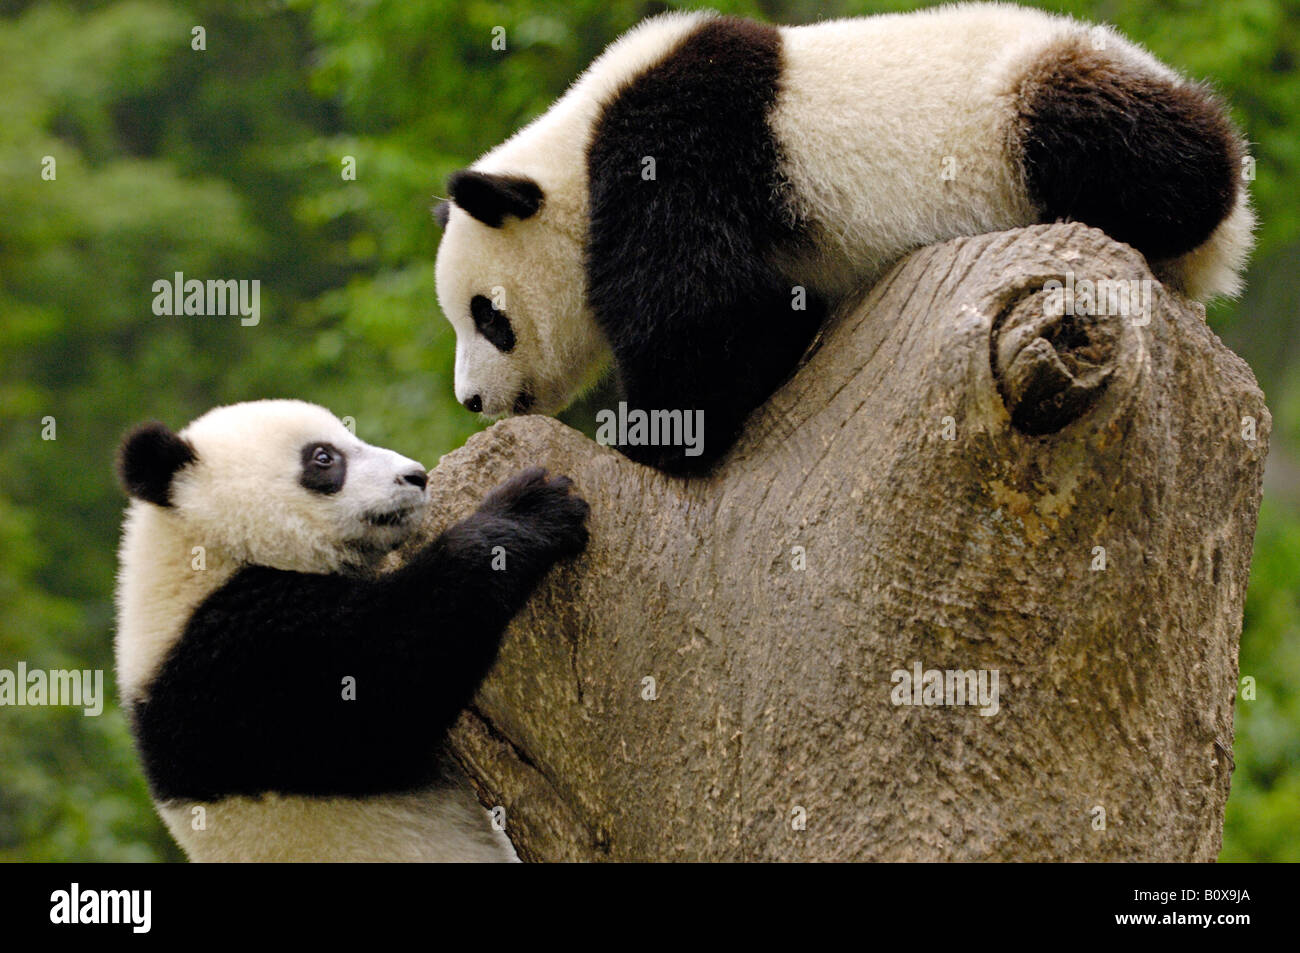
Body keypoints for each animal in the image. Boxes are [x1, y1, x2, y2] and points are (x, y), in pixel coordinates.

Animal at [111, 397, 590, 858]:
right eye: (324, 457)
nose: (416, 477)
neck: (201, 552)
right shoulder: (239, 663)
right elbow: (389, 671)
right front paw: (529, 509)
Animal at [436, 2, 1258, 473]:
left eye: (489, 317)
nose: (472, 400)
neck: (576, 150)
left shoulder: (679, 148)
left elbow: (703, 311)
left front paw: (655, 437)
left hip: (1030, 103)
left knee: (1133, 146)